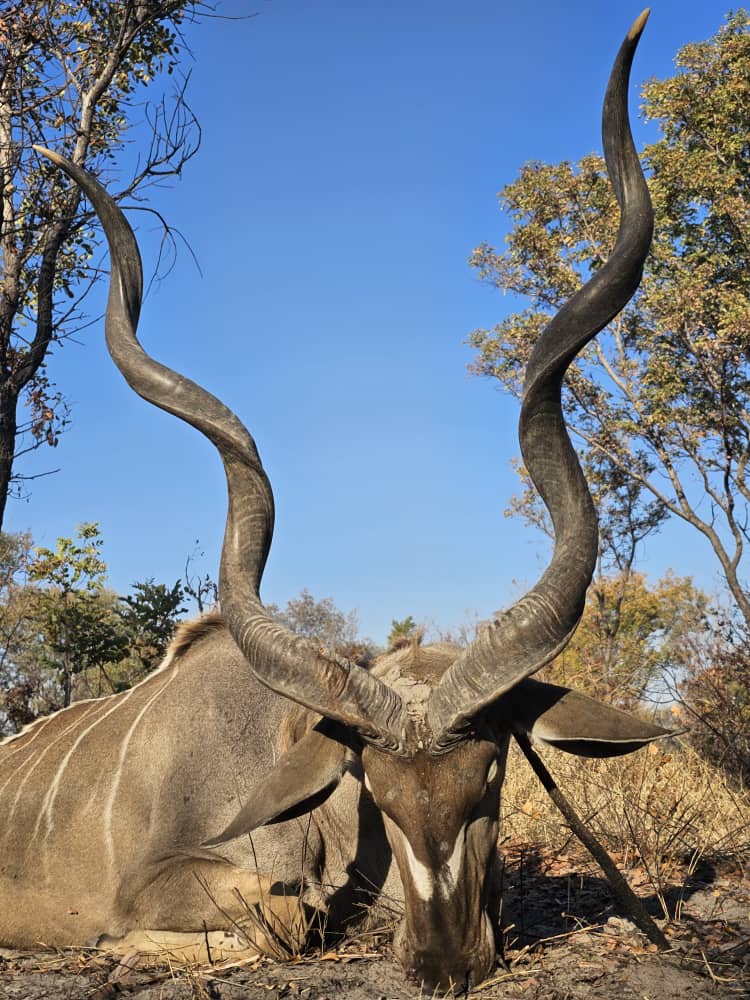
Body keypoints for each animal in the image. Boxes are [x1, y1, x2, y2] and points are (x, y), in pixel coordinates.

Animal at [0, 13, 668, 992]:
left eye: (490, 779)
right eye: (376, 791)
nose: (442, 961)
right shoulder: (162, 881)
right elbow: (285, 920)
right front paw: (120, 946)